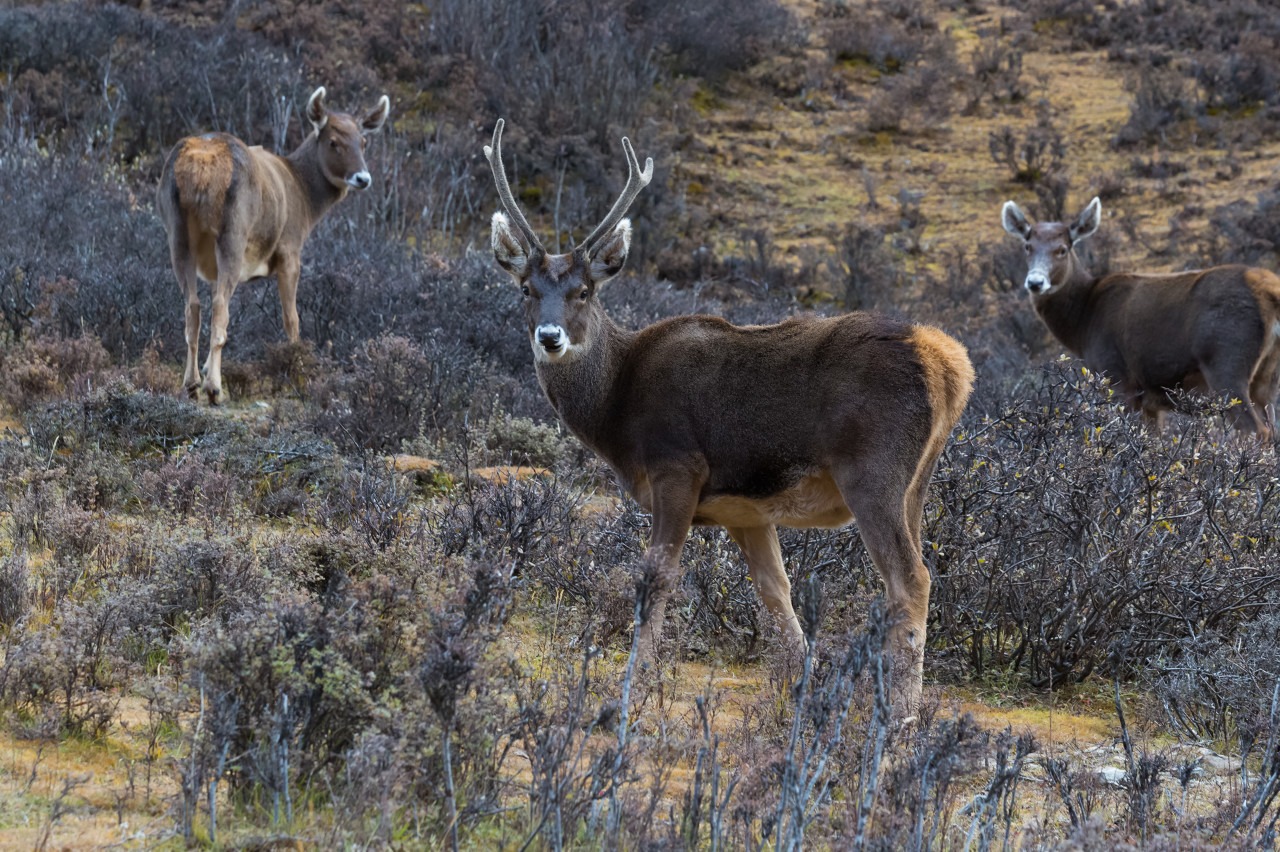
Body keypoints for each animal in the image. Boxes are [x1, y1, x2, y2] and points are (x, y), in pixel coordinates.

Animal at [157, 86, 390, 404]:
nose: (362, 178)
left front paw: (205, 368)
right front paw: (300, 374)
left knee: (193, 306)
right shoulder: (290, 248)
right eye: (333, 142)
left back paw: (192, 383)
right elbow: (292, 318)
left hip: (176, 229)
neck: (306, 201)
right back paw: (214, 388)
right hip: (234, 229)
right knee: (219, 306)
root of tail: (203, 167)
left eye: (364, 141)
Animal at [484, 119, 974, 716]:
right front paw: (801, 692)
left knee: (911, 579)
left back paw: (900, 711)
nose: (550, 337)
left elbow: (657, 580)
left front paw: (630, 690)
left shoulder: (678, 467)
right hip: (917, 484)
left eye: (584, 290)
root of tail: (950, 365)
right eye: (526, 289)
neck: (616, 412)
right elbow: (777, 595)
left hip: (873, 470)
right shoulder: (746, 511)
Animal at [1002, 197, 1280, 438]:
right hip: (1267, 375)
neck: (1083, 324)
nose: (1035, 282)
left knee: (1257, 431)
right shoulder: (1151, 400)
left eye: (1062, 249)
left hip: (1225, 361)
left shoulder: (1117, 376)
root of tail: (1270, 292)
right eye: (1027, 247)